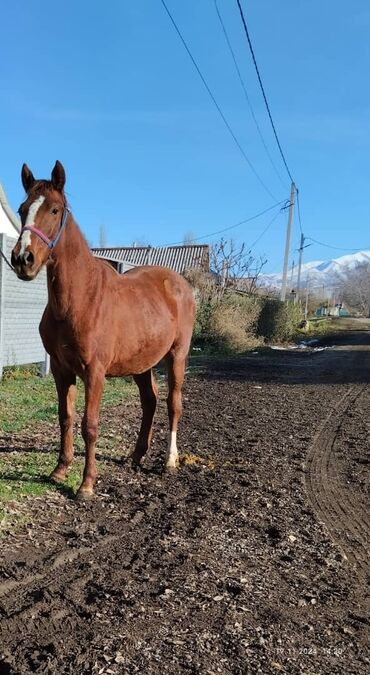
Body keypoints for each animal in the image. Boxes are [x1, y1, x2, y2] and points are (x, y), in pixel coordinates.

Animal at [10, 163, 197, 500]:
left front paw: (86, 484)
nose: (22, 259)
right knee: (149, 401)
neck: (80, 298)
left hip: (177, 356)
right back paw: (136, 456)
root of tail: (183, 285)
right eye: (22, 209)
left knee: (173, 404)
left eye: (55, 209)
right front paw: (60, 470)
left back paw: (169, 461)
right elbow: (66, 418)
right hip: (143, 363)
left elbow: (90, 424)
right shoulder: (62, 371)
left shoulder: (95, 372)